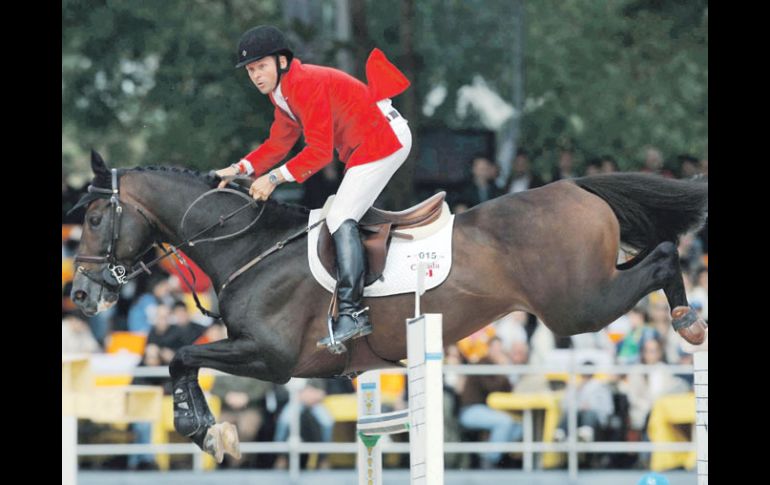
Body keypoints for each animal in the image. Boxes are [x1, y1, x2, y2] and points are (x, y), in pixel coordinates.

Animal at [69, 149, 704, 460]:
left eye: (96, 218)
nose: (79, 295)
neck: (249, 247)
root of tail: (577, 186)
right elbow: (185, 360)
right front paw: (210, 431)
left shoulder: (270, 358)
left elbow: (182, 358)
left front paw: (201, 430)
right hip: (585, 295)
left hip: (578, 306)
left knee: (664, 254)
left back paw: (687, 320)